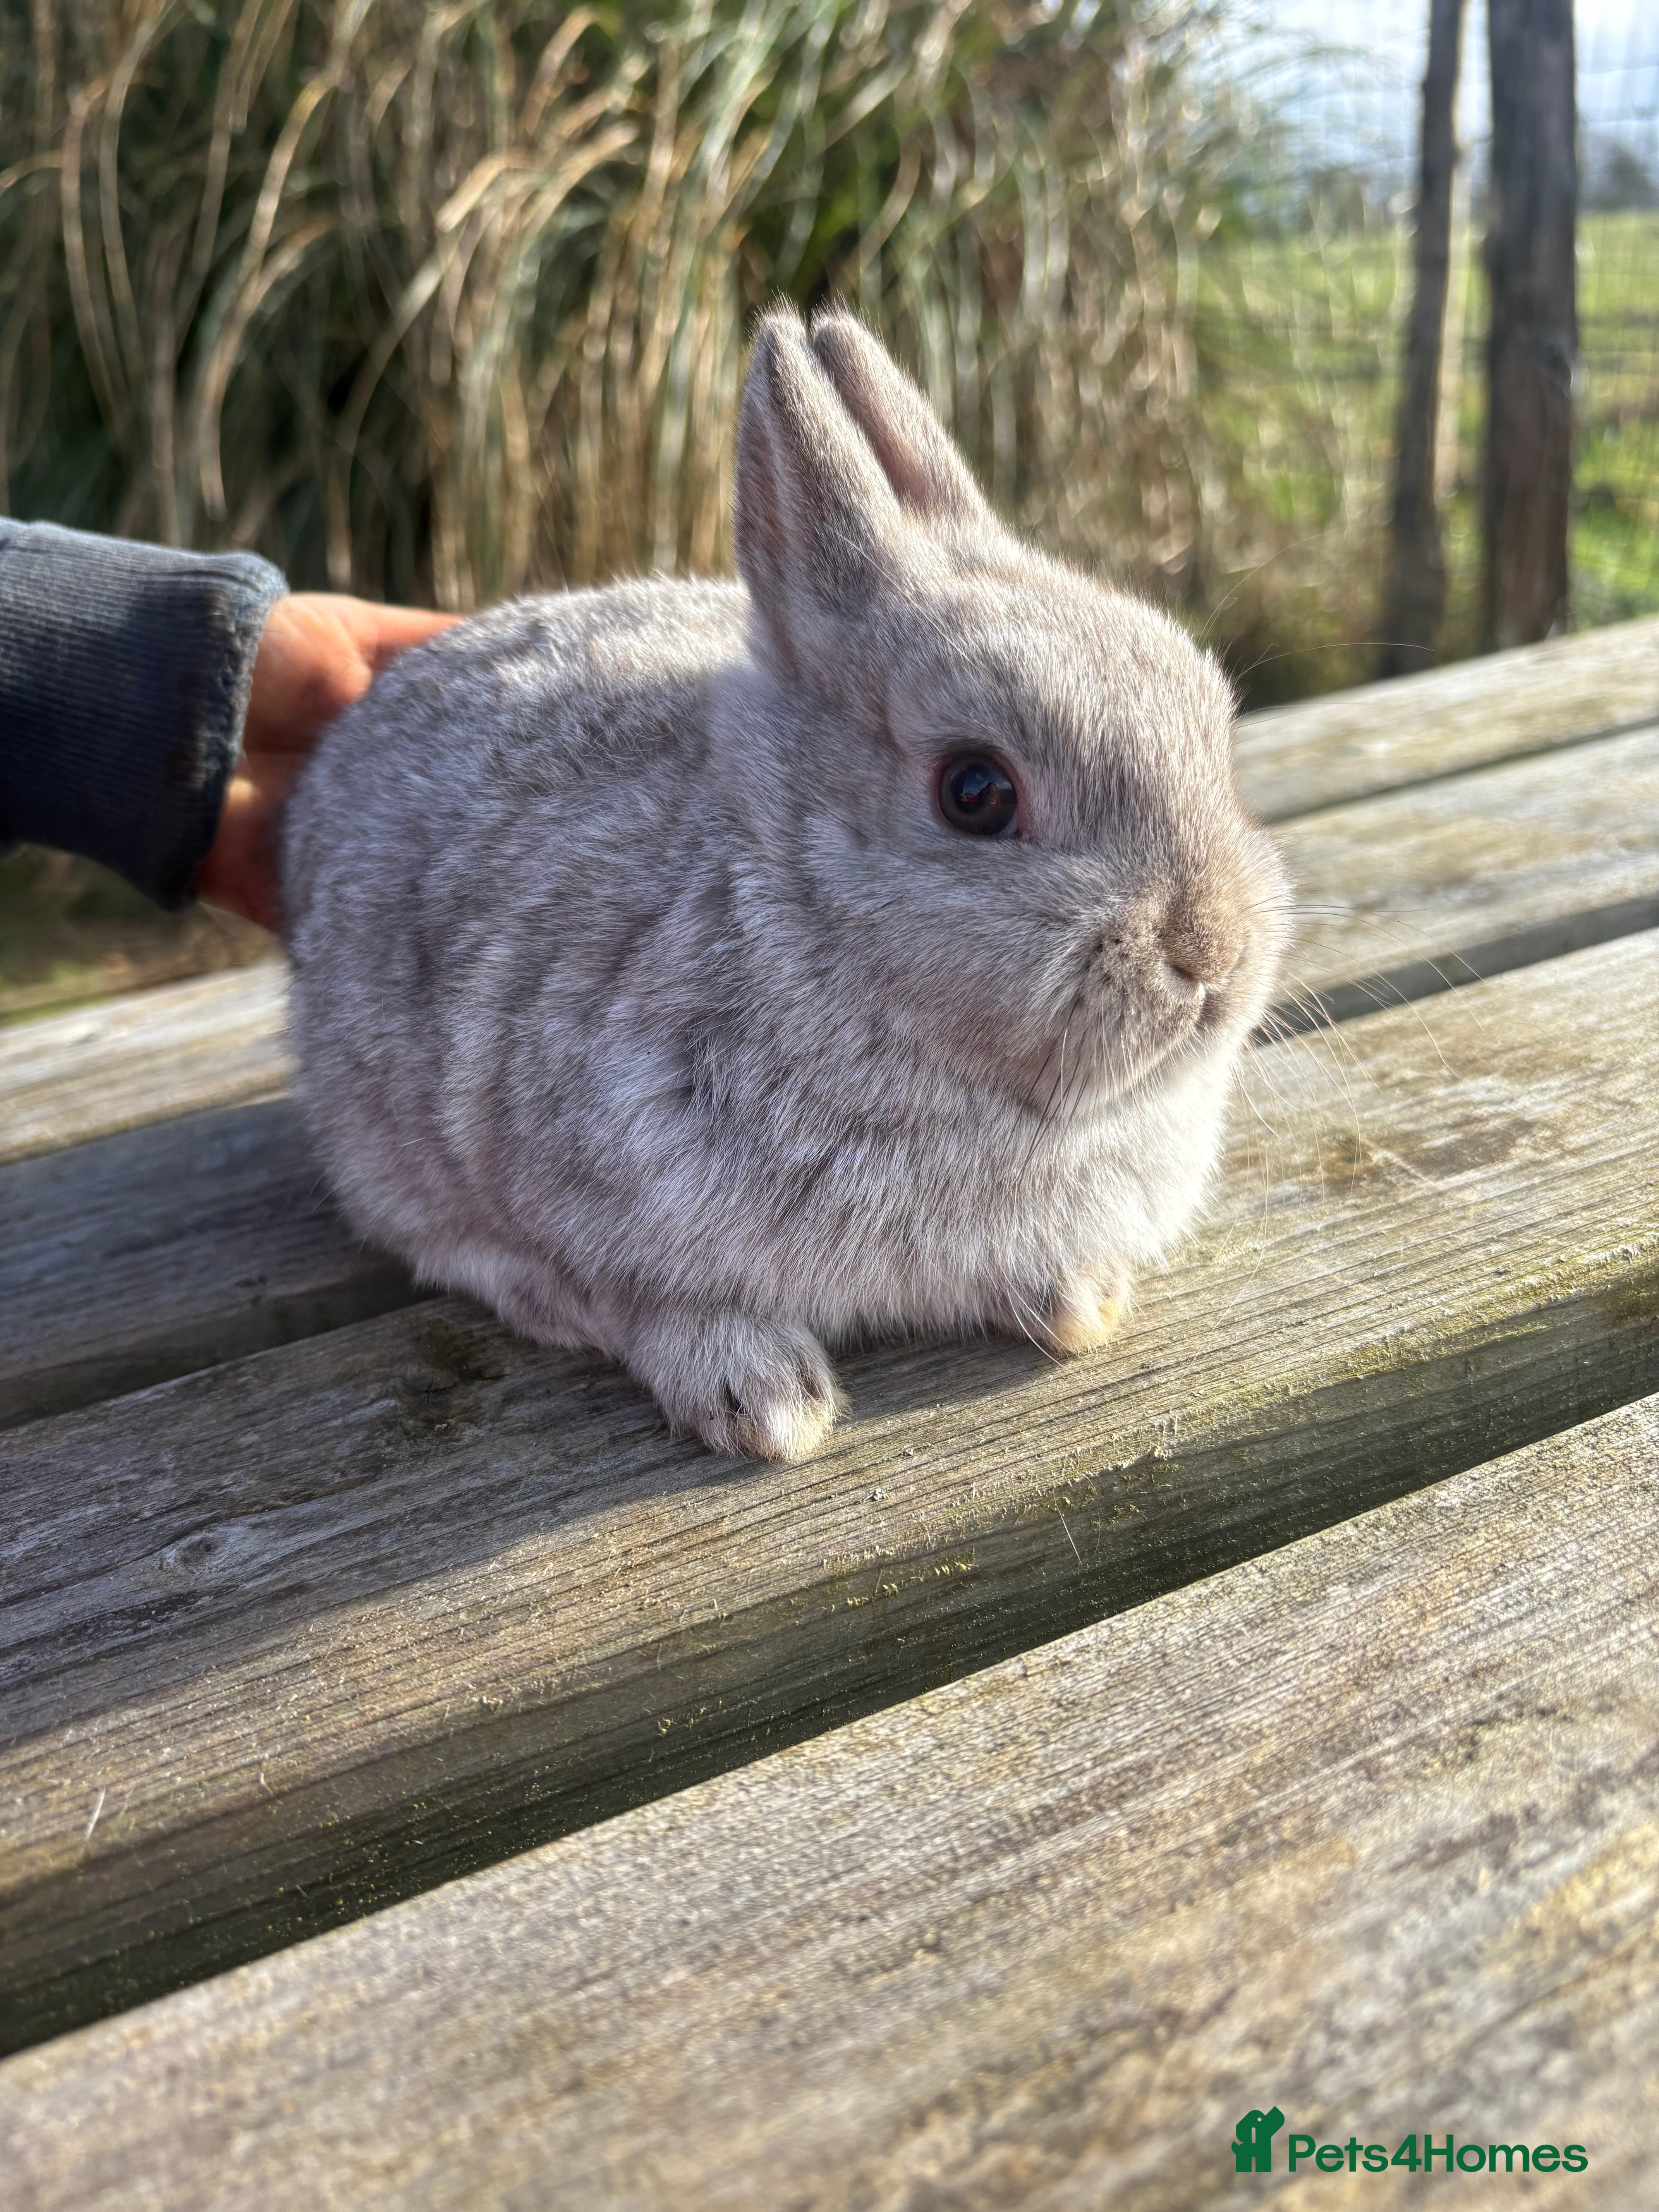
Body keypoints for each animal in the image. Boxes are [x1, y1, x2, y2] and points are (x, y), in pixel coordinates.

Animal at [281, 308, 1291, 1462]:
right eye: (976, 793)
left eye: (1208, 719)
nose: (1210, 952)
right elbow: (635, 1299)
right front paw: (767, 1405)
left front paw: (1083, 1304)